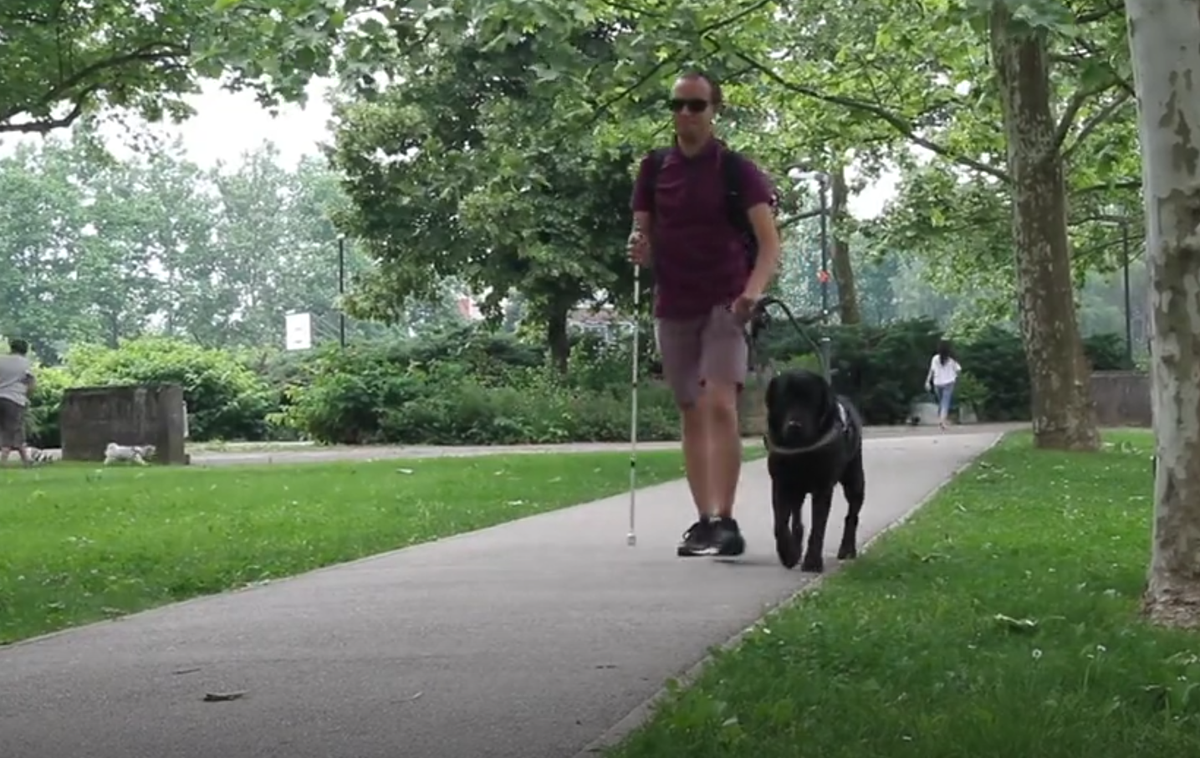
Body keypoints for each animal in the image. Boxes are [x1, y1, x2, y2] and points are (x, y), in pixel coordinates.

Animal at [768, 369, 864, 570]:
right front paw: (789, 554)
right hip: (797, 489)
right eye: (783, 398)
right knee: (796, 516)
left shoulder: (822, 487)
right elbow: (780, 524)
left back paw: (847, 549)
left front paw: (812, 561)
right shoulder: (780, 484)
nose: (794, 426)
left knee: (852, 515)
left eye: (810, 399)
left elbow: (818, 526)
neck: (801, 452)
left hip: (855, 479)